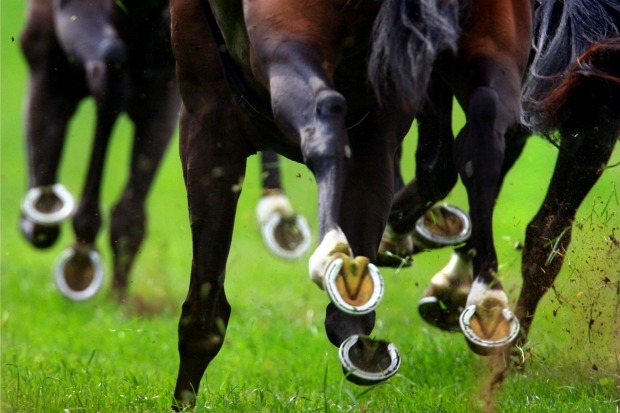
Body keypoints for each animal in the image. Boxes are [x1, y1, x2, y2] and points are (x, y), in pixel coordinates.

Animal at [167, 0, 532, 406]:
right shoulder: (381, 123)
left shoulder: (206, 126)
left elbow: (204, 310)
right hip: (486, 51)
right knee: (486, 132)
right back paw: (487, 302)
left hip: (288, 35)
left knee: (323, 112)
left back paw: (335, 254)